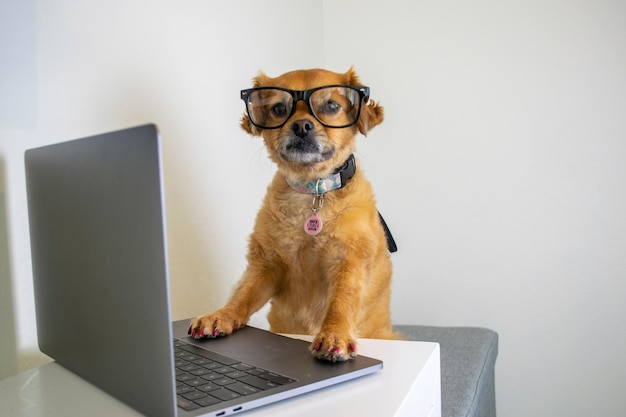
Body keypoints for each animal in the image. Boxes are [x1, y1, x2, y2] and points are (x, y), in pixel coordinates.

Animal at [188, 68, 398, 360]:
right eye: (279, 108)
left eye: (331, 105)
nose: (301, 126)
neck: (312, 193)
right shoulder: (266, 264)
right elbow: (243, 295)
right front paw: (222, 315)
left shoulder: (349, 261)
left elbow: (341, 302)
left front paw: (334, 335)